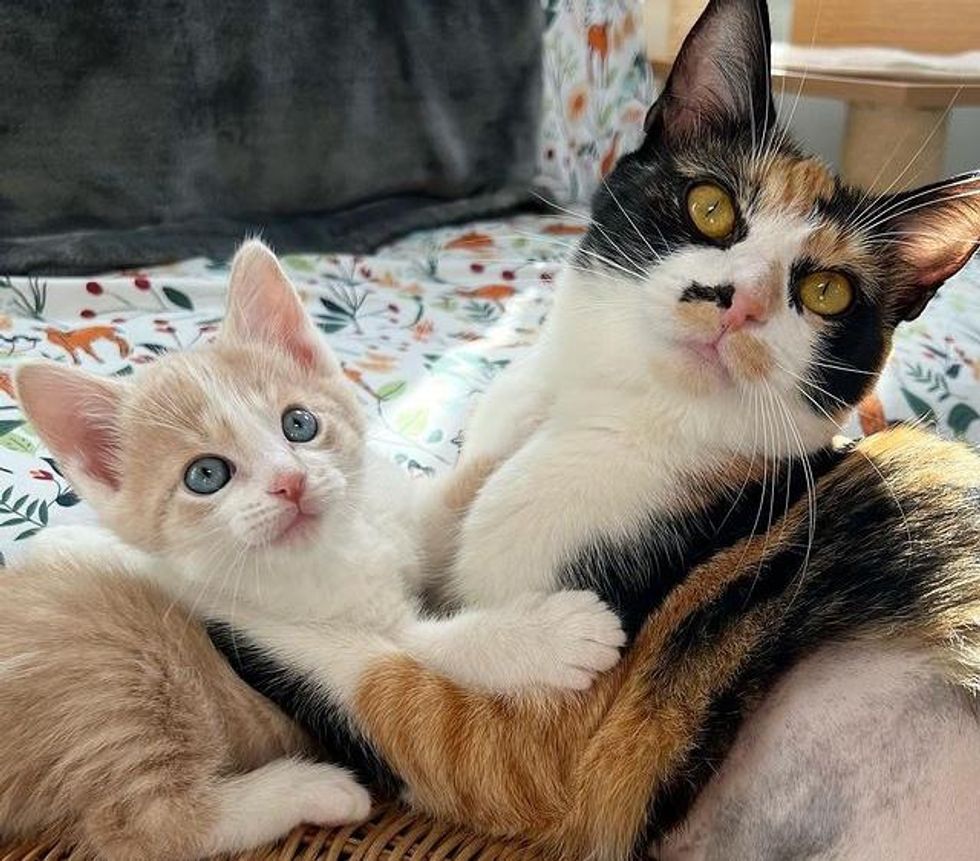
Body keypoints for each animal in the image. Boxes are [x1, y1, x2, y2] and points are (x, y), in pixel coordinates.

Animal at [1, 239, 628, 856]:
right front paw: (551, 635)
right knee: (144, 828)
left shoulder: (401, 527)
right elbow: (426, 645)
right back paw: (312, 788)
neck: (343, 545)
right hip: (117, 671)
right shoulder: (280, 620)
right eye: (206, 475)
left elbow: (447, 504)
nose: (290, 482)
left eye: (298, 424)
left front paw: (529, 389)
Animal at [207, 0, 980, 856]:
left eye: (828, 290)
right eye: (711, 206)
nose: (738, 301)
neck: (600, 403)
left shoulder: (562, 744)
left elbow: (391, 665)